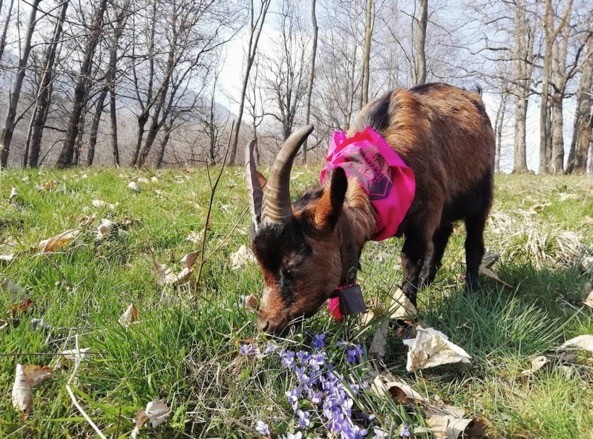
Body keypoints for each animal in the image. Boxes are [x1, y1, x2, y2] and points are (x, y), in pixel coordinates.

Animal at [245, 82, 494, 334]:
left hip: (481, 195)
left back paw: (470, 291)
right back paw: (427, 282)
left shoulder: (426, 214)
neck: (383, 170)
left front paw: (404, 315)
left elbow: (411, 259)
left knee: (473, 242)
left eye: (293, 265)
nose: (266, 324)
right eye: (260, 265)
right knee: (443, 234)